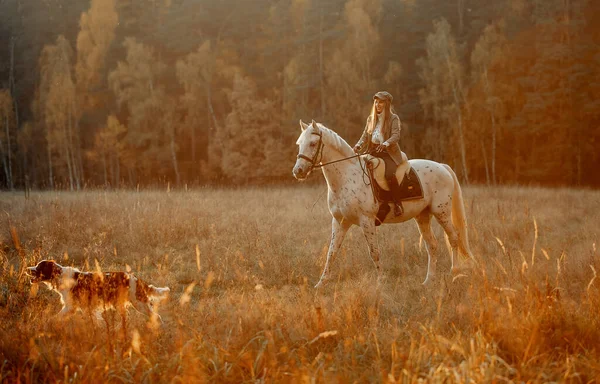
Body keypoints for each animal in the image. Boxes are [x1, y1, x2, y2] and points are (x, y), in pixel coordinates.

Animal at [27, 258, 170, 324]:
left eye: (38, 267)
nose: (27, 269)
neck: (60, 276)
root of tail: (134, 278)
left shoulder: (71, 306)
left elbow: (55, 317)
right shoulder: (80, 308)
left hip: (138, 303)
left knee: (155, 316)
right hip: (121, 304)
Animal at [292, 121, 474, 288]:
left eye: (313, 143)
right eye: (299, 144)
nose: (298, 171)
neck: (346, 177)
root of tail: (442, 167)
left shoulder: (367, 221)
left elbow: (374, 252)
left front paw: (380, 281)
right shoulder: (340, 222)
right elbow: (332, 252)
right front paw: (321, 283)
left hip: (441, 212)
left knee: (454, 237)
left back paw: (454, 272)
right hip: (422, 216)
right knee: (432, 245)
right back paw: (429, 280)